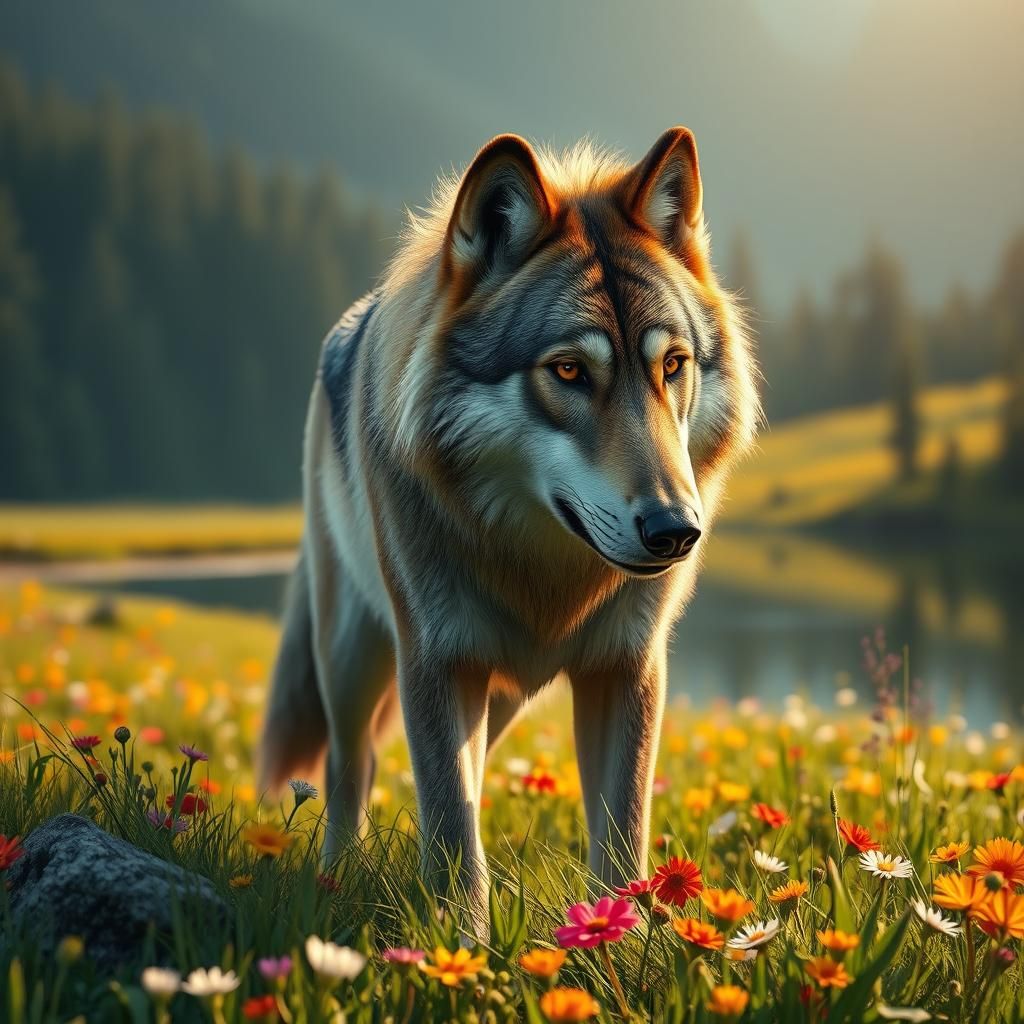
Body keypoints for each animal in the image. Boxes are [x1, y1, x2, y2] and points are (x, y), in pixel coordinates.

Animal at [260, 127, 759, 937]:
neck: (545, 572)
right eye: (569, 371)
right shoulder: (435, 661)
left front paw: (621, 949)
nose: (675, 531)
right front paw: (454, 951)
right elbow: (454, 835)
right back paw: (335, 880)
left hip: (501, 698)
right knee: (349, 767)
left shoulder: (628, 668)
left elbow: (621, 846)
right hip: (352, 651)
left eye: (673, 365)